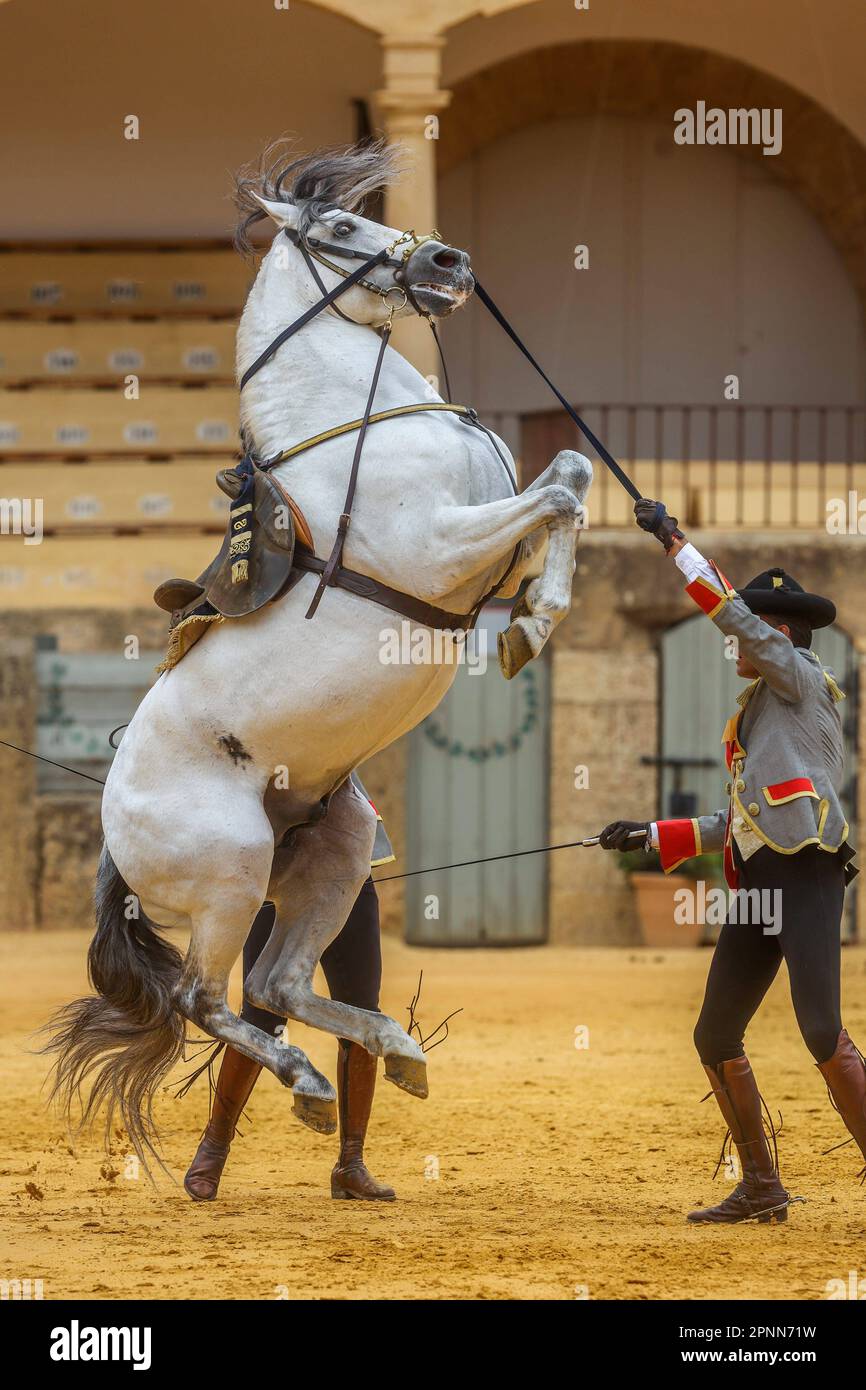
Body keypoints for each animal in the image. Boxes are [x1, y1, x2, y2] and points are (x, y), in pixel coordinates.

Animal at [45, 141, 589, 1167]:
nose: (450, 262)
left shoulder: (480, 549)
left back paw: (394, 1051)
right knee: (211, 996)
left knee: (284, 983)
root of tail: (113, 832)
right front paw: (536, 624)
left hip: (331, 857)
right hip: (231, 873)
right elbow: (561, 493)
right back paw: (307, 1078)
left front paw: (535, 613)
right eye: (340, 226)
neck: (363, 423)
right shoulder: (438, 551)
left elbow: (566, 480)